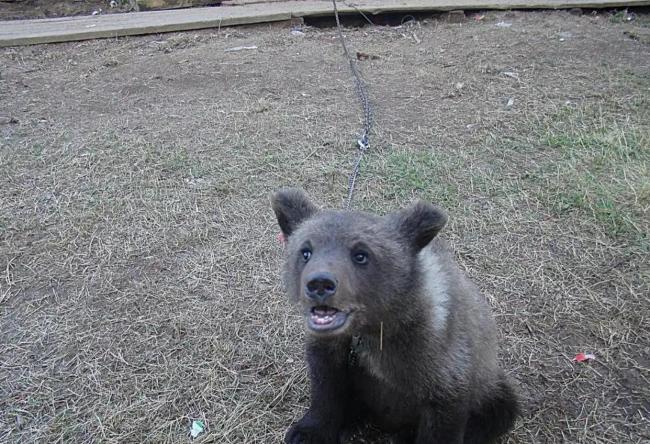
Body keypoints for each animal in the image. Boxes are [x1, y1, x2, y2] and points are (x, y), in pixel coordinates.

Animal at [272, 188, 519, 444]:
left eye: (361, 255)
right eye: (305, 252)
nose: (320, 284)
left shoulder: (445, 371)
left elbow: (442, 423)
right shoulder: (333, 352)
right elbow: (326, 389)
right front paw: (308, 432)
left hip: (491, 387)